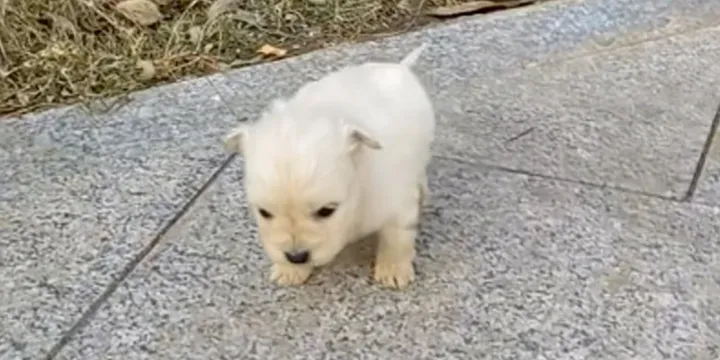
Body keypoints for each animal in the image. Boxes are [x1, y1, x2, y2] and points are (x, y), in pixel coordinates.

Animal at [224, 44, 434, 290]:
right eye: (264, 212)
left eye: (326, 211)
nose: (296, 256)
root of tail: (400, 67)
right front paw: (290, 270)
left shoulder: (396, 203)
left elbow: (396, 237)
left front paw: (393, 269)